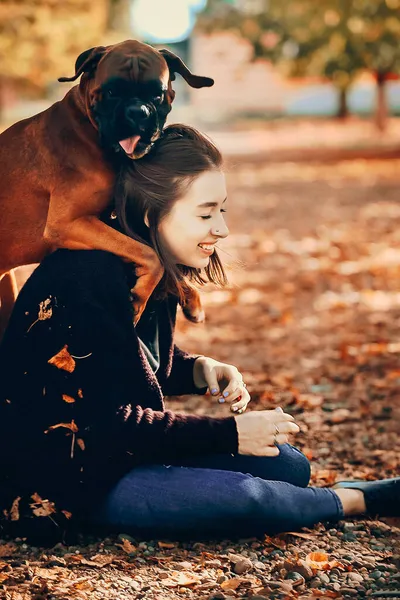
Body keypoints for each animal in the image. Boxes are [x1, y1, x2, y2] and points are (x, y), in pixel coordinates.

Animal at [0, 38, 214, 338]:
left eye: (157, 94)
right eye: (111, 91)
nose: (138, 112)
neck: (86, 129)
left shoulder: (104, 223)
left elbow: (154, 252)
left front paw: (190, 298)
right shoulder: (67, 224)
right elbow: (152, 255)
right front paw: (137, 300)